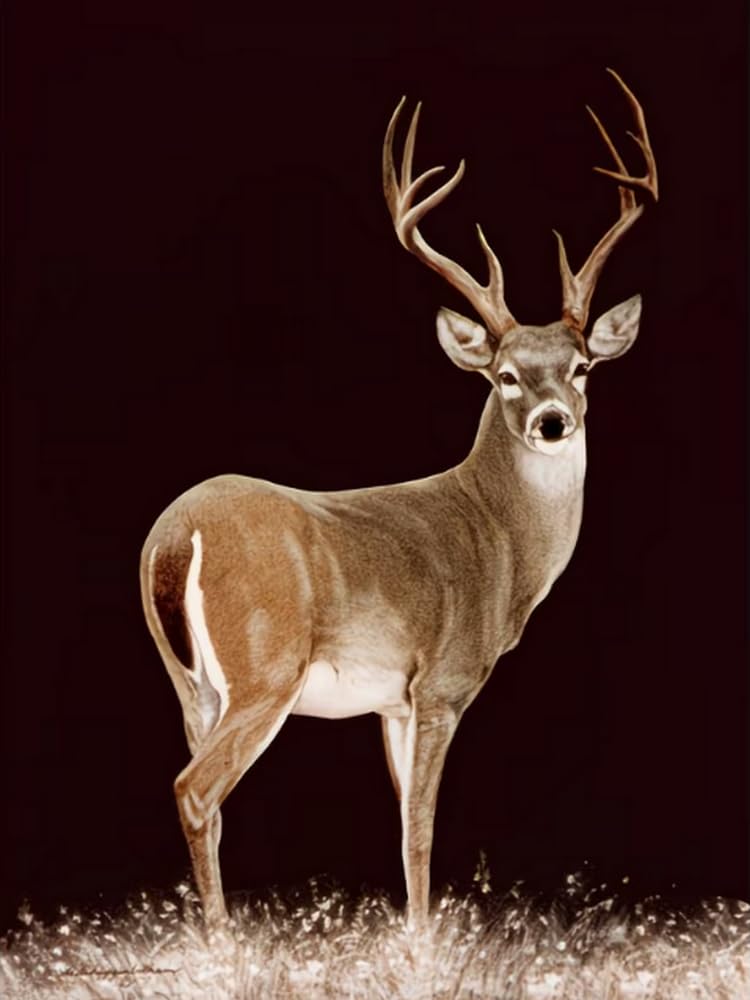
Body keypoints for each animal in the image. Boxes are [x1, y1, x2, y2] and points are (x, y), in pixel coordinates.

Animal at [140, 69, 657, 930]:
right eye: (504, 374)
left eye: (582, 366)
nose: (554, 421)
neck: (498, 541)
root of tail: (175, 537)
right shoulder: (442, 681)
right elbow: (420, 828)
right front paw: (421, 940)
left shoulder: (392, 703)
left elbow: (400, 816)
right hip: (266, 668)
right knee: (194, 789)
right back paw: (222, 943)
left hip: (192, 684)